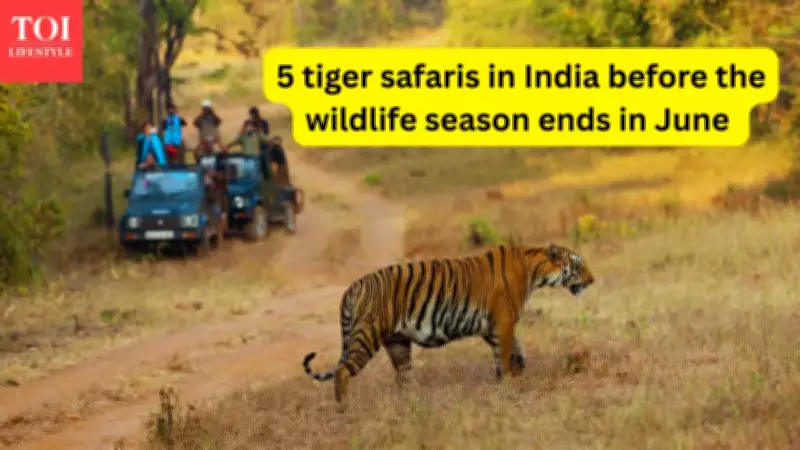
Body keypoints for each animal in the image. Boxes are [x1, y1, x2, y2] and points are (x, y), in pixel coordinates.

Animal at [302, 243, 594, 407]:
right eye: (578, 264)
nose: (592, 280)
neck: (534, 268)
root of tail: (353, 286)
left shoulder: (492, 326)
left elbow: (514, 351)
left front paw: (515, 372)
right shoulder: (503, 322)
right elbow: (505, 354)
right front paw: (509, 384)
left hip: (397, 342)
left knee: (403, 377)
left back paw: (415, 402)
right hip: (368, 335)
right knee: (342, 372)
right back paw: (344, 408)